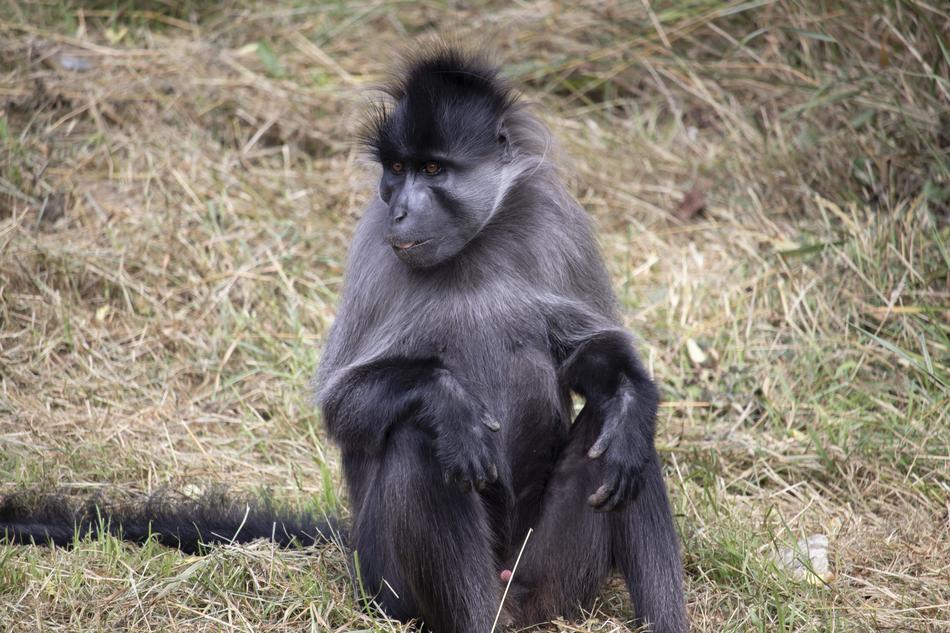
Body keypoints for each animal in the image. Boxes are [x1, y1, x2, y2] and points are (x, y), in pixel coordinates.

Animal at [0, 47, 687, 633]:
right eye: (397, 171)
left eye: (432, 169)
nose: (403, 211)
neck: (472, 252)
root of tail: (512, 598)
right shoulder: (375, 243)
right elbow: (349, 407)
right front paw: (446, 398)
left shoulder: (553, 221)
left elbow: (592, 360)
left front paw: (631, 398)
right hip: (387, 586)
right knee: (418, 437)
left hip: (546, 576)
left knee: (619, 440)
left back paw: (625, 430)